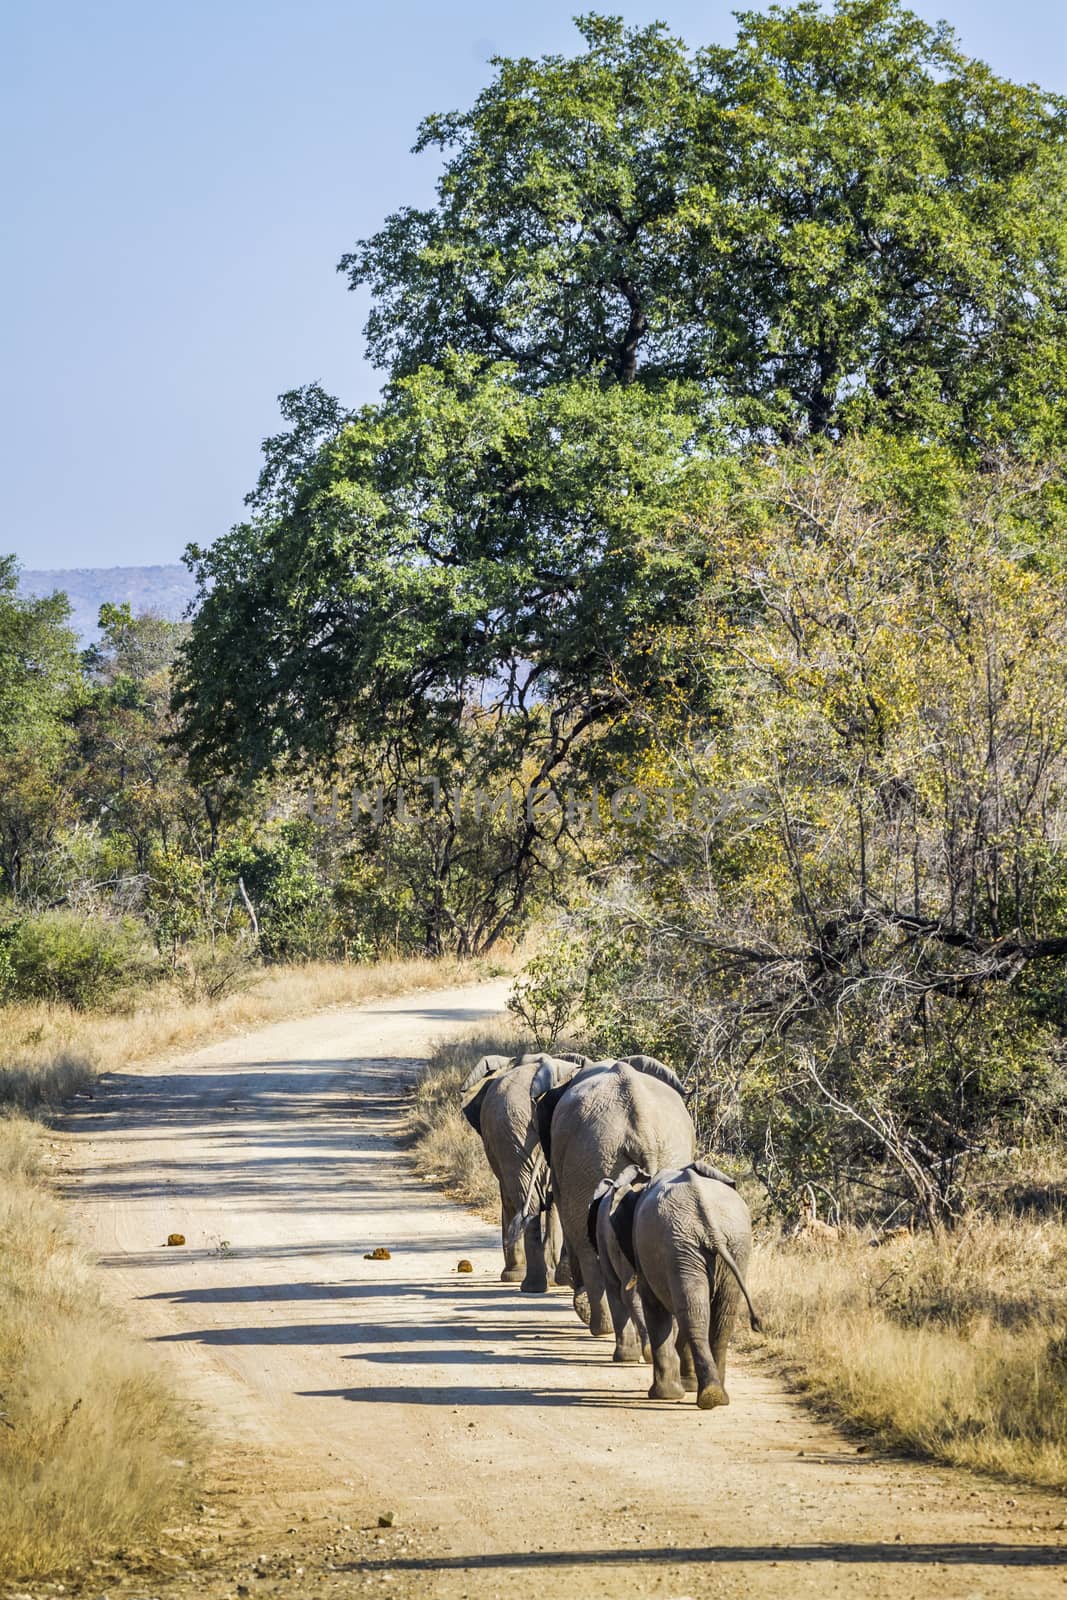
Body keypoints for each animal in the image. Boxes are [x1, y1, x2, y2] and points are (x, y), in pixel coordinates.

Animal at [591, 1164, 758, 1414]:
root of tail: (709, 1221)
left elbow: (652, 1306)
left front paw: (665, 1395)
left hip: (695, 1245)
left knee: (694, 1312)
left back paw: (706, 1394)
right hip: (720, 1246)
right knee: (712, 1314)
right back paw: (715, 1395)